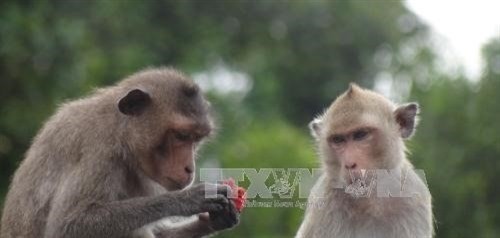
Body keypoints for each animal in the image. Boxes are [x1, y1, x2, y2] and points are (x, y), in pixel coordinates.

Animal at [0, 67, 239, 238]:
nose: (190, 168)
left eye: (196, 139)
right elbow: (67, 225)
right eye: (181, 136)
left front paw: (214, 220)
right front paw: (186, 199)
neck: (121, 133)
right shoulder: (98, 149)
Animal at [294, 83, 432, 238]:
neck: (371, 201)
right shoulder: (322, 202)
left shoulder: (414, 198)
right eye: (338, 140)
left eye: (360, 135)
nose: (349, 164)